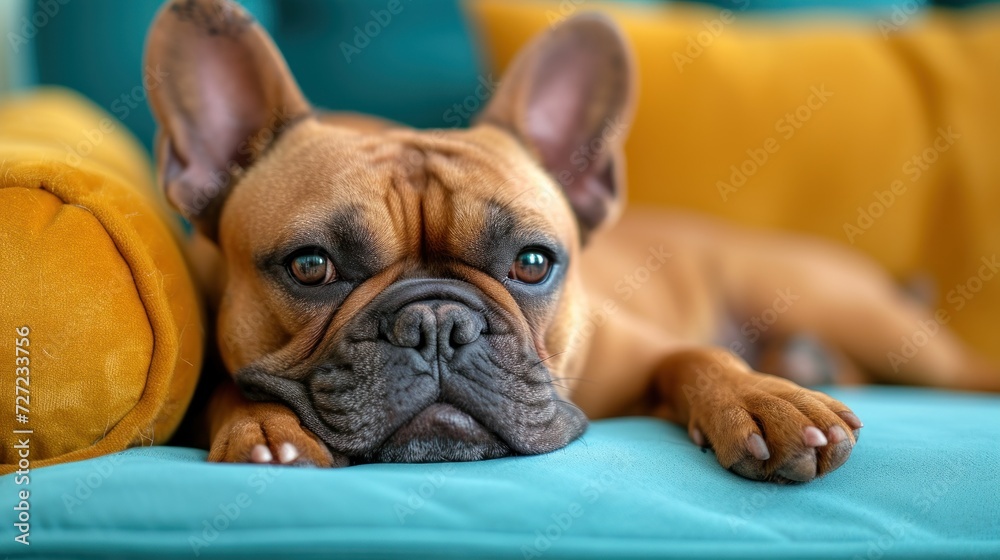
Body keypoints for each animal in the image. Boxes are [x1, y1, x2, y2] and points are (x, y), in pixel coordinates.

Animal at [146, 0, 1000, 482]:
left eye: (533, 263)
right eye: (312, 267)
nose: (436, 324)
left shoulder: (645, 349)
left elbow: (697, 357)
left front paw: (764, 401)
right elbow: (230, 389)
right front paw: (265, 427)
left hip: (871, 323)